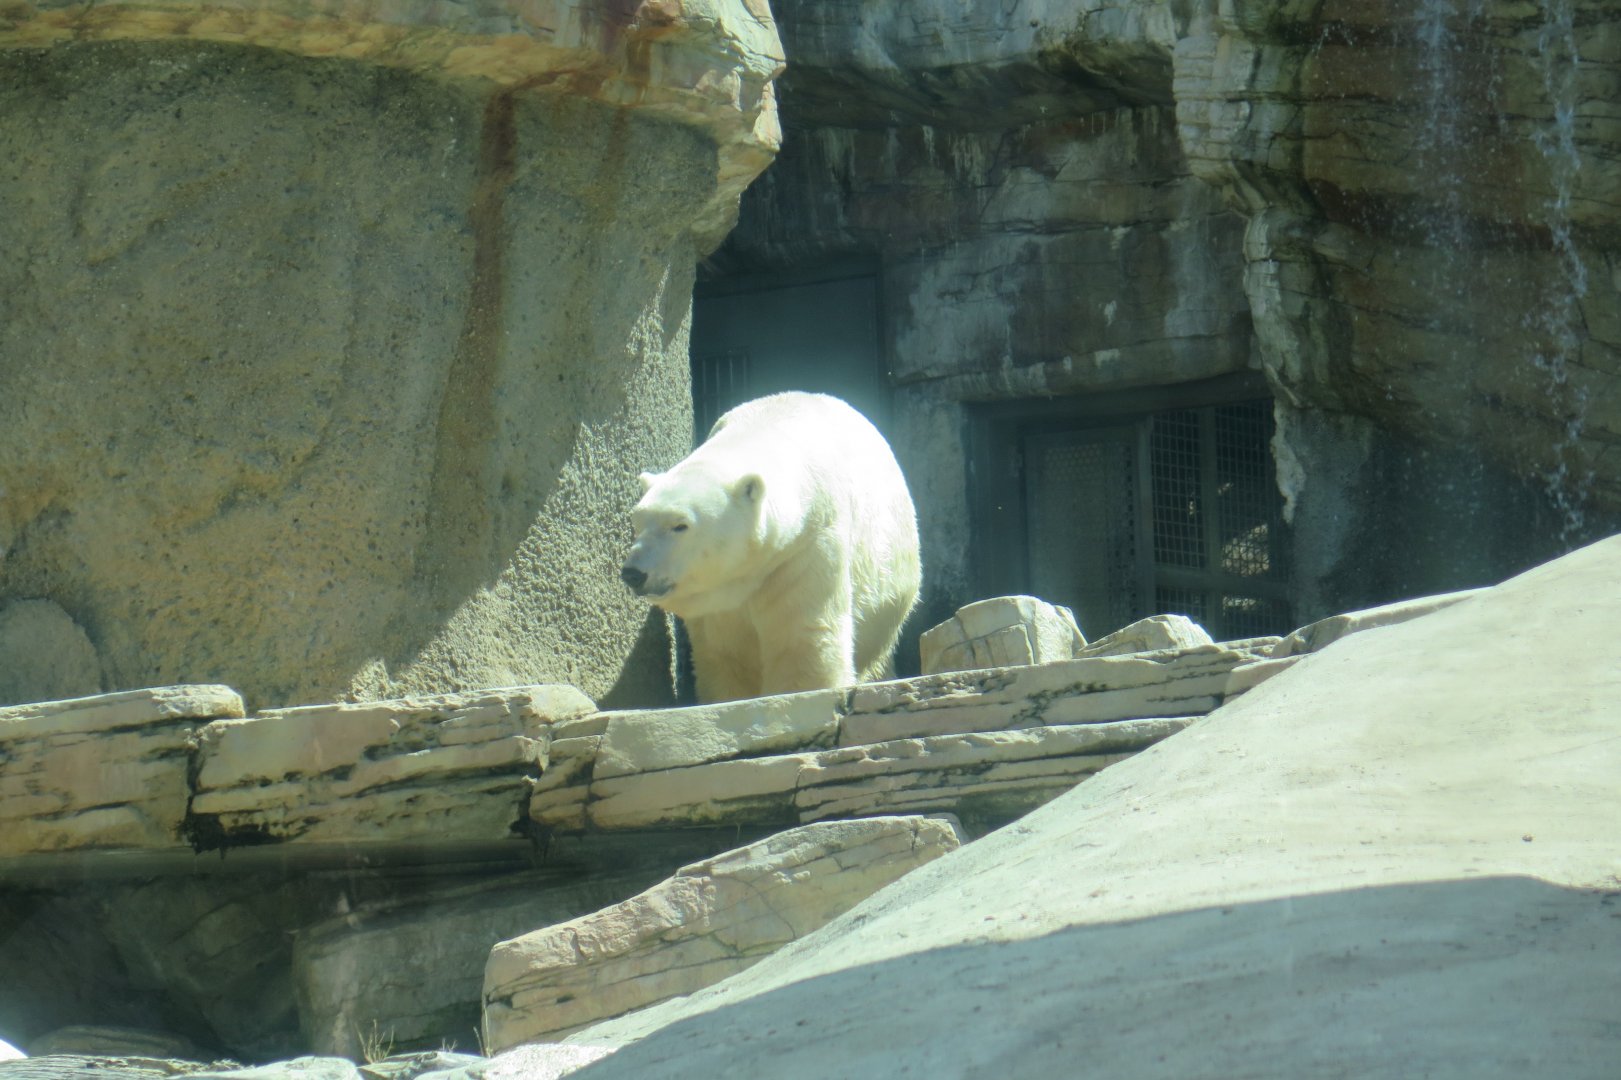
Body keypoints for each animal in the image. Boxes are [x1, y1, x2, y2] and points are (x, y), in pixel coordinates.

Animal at [621, 391, 921, 704]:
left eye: (680, 525)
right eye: (637, 521)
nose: (633, 573)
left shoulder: (803, 547)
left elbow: (800, 634)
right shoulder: (718, 597)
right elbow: (724, 650)